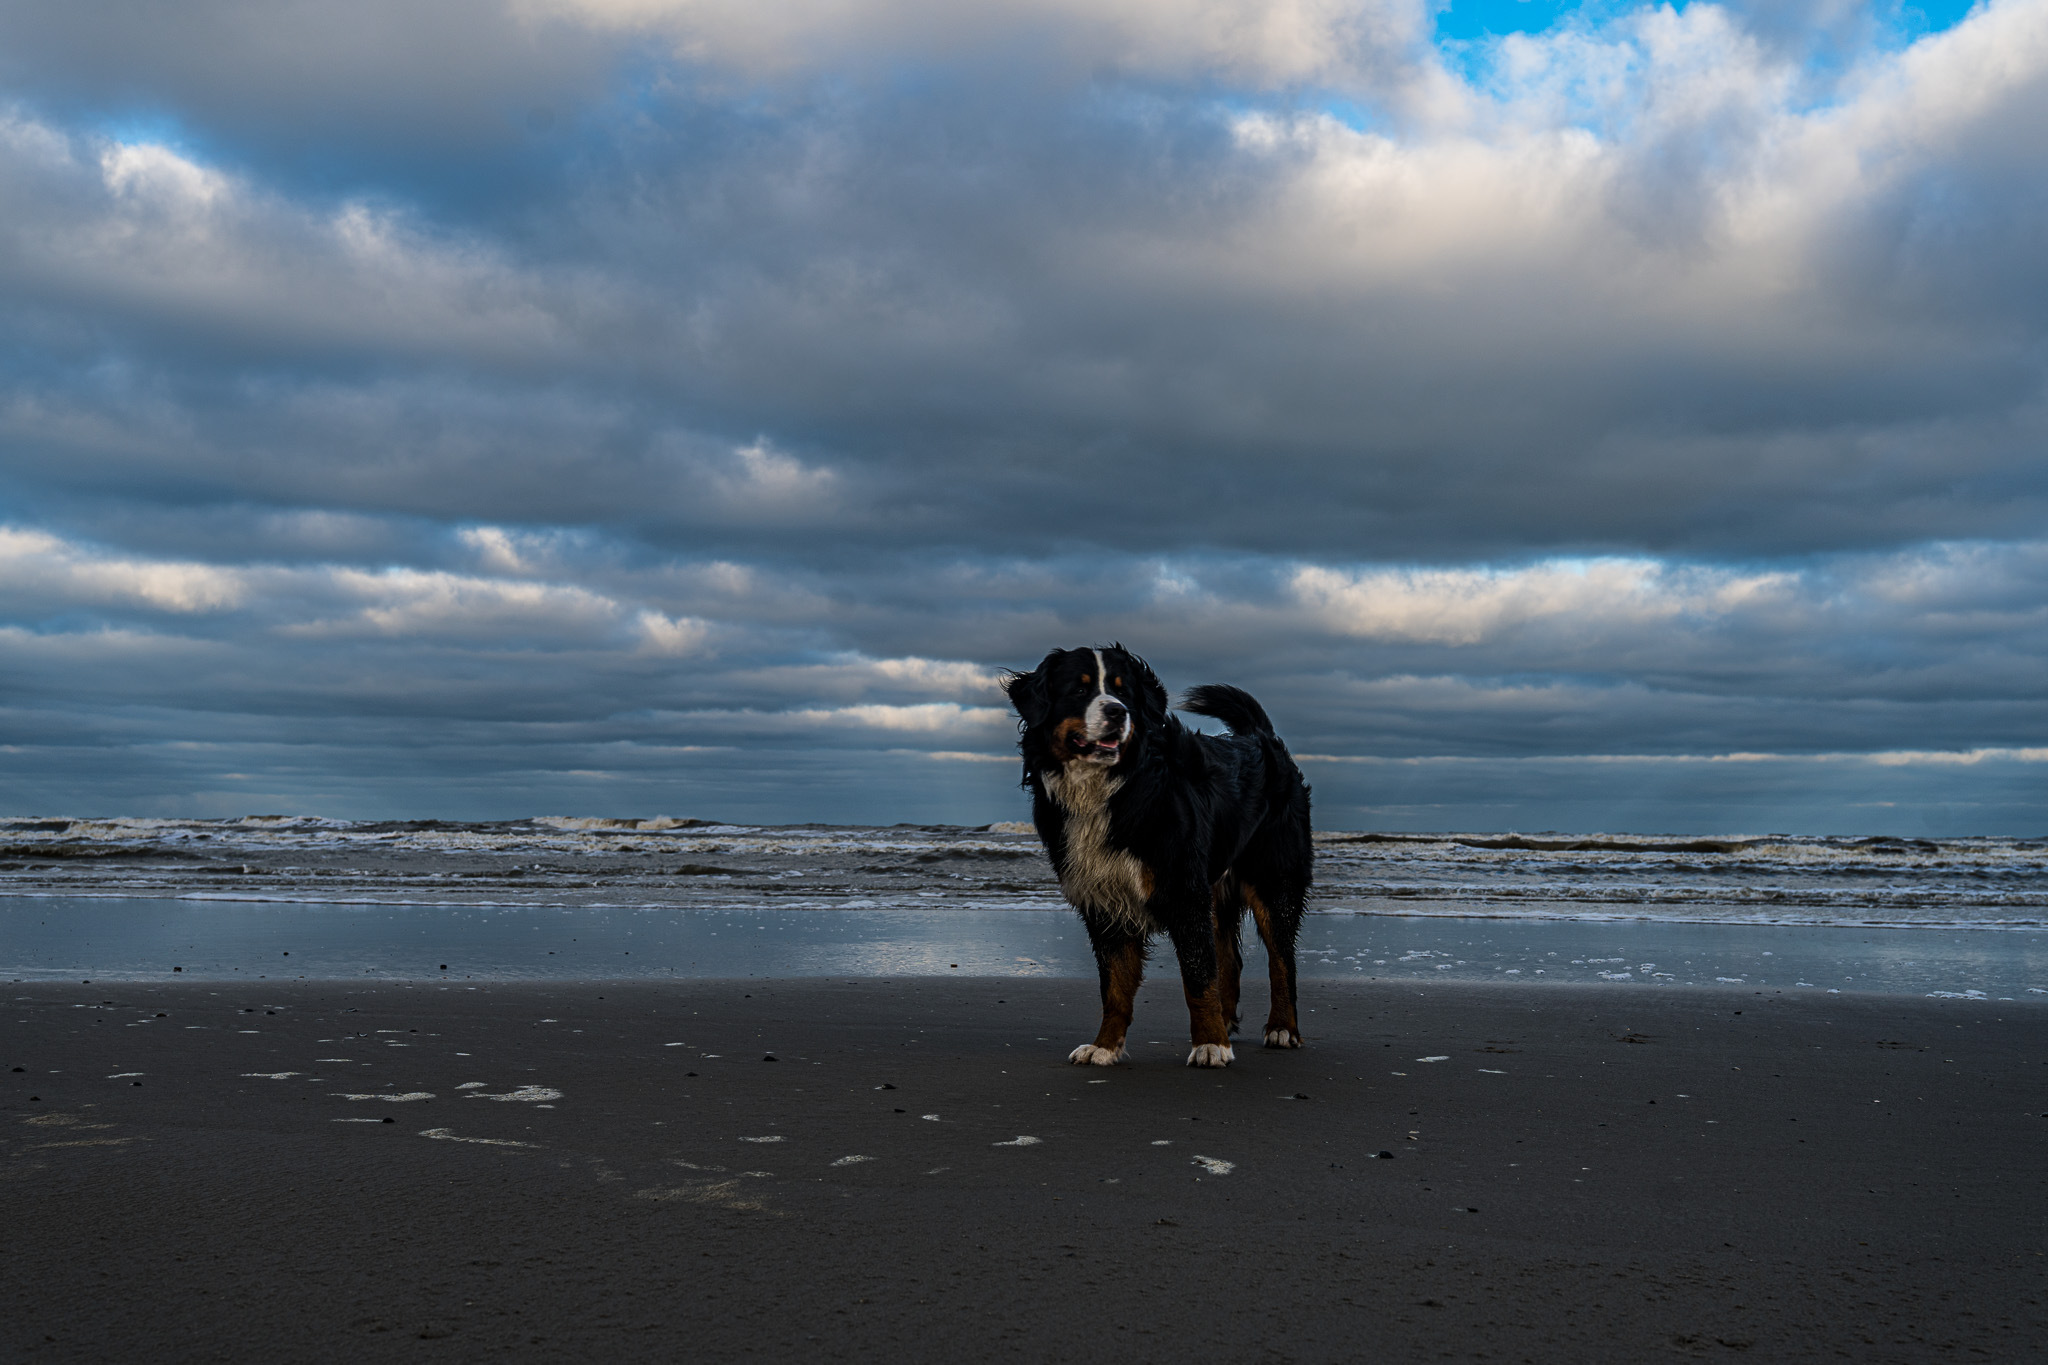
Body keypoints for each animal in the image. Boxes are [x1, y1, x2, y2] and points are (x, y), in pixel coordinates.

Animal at [1002, 644, 1313, 1067]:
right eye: (1079, 690)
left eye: (1123, 692)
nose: (1117, 712)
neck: (1111, 789)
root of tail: (1259, 736)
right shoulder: (1106, 902)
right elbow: (1114, 988)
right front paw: (1105, 1046)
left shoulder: (1183, 891)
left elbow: (1197, 978)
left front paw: (1210, 1045)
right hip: (1216, 888)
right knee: (1229, 959)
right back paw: (1226, 1021)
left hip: (1273, 879)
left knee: (1282, 961)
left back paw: (1282, 1027)